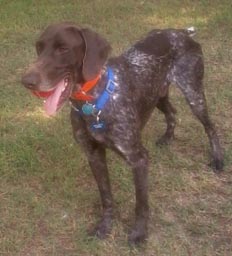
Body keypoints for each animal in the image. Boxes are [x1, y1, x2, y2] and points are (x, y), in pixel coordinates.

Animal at [21, 22, 223, 244]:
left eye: (63, 48)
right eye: (39, 47)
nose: (26, 81)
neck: (93, 102)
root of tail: (181, 32)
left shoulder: (138, 159)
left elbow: (141, 203)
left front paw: (139, 233)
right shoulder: (94, 154)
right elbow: (106, 196)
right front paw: (106, 225)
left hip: (193, 94)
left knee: (210, 127)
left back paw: (218, 159)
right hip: (157, 96)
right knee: (172, 113)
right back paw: (167, 138)